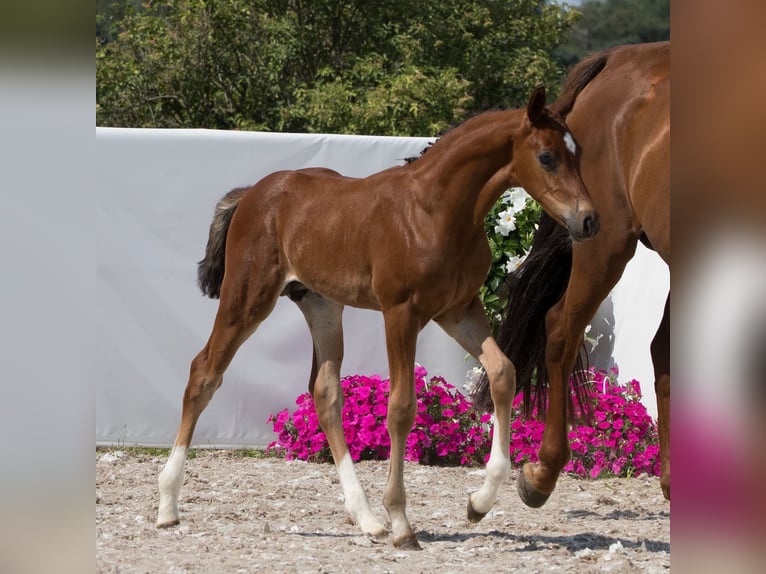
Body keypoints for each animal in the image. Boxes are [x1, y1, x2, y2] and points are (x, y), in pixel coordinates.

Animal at [154, 85, 600, 548]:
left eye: (578, 152)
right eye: (546, 156)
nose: (589, 220)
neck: (435, 211)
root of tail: (251, 194)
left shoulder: (459, 309)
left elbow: (502, 373)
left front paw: (478, 503)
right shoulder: (400, 312)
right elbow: (401, 407)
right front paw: (402, 522)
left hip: (322, 305)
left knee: (325, 393)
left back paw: (366, 516)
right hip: (248, 298)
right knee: (204, 372)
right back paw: (167, 505)